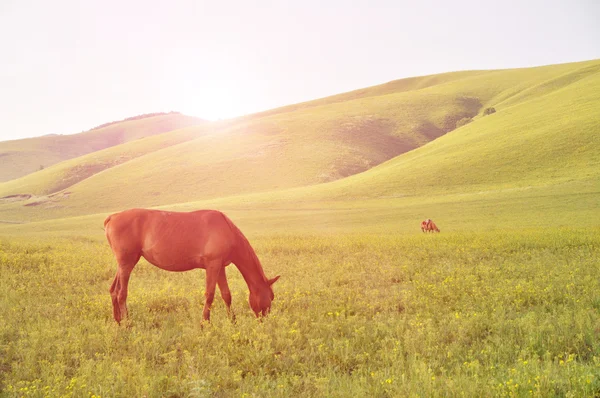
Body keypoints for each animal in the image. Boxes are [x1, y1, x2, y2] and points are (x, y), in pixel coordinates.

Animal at [103, 208, 282, 324]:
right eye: (271, 296)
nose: (265, 320)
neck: (227, 229)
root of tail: (112, 217)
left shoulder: (220, 267)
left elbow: (226, 295)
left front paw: (232, 321)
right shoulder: (212, 266)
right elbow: (209, 295)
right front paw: (205, 323)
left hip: (124, 264)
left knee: (113, 290)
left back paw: (118, 322)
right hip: (127, 264)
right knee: (121, 293)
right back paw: (127, 324)